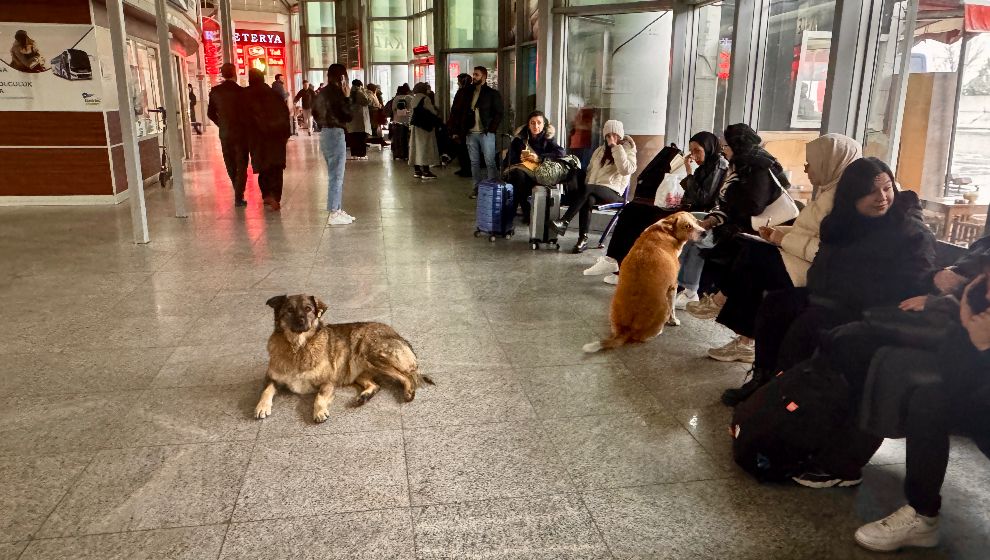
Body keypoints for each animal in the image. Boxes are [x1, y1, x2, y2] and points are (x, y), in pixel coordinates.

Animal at [254, 296, 432, 422]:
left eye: (308, 309)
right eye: (290, 310)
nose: (301, 321)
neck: (298, 347)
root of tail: (399, 335)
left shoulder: (327, 382)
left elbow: (319, 397)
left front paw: (319, 411)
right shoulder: (271, 378)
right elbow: (266, 390)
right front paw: (261, 407)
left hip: (373, 355)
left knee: (406, 376)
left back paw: (408, 392)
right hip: (358, 369)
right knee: (376, 385)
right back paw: (364, 396)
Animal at [588, 212, 704, 352]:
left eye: (696, 221)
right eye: (688, 226)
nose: (704, 233)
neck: (664, 231)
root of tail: (625, 331)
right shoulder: (673, 287)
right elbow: (673, 309)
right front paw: (674, 320)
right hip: (663, 309)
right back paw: (659, 331)